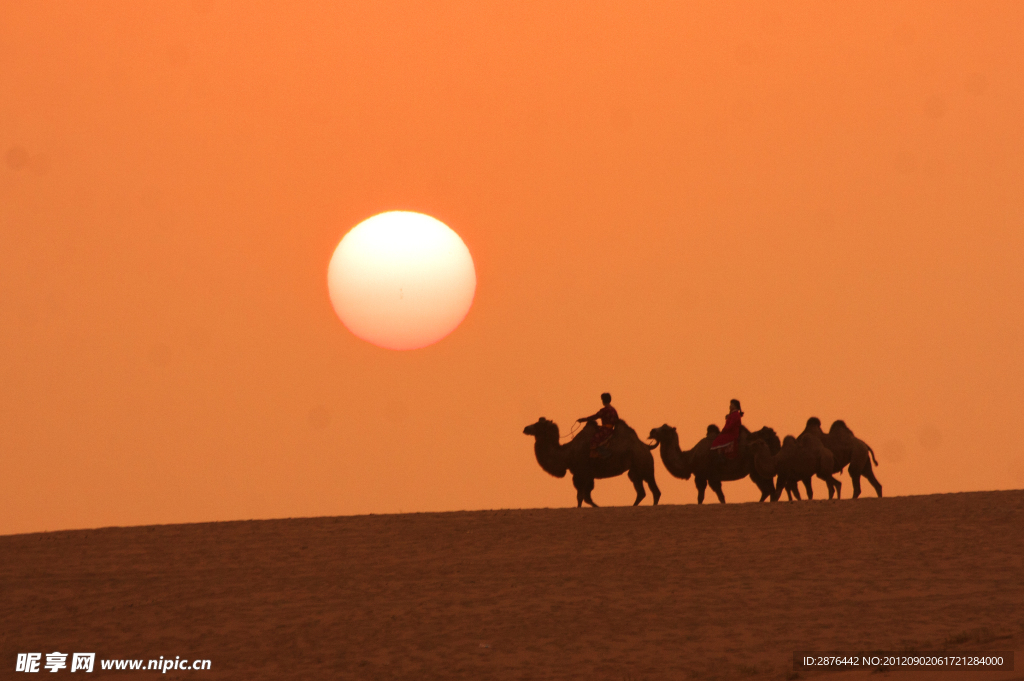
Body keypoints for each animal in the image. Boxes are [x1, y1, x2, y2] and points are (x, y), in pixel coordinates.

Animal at [524, 413, 659, 503]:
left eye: (538, 424)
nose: (526, 428)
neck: (567, 454)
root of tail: (646, 446)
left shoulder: (581, 473)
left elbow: (581, 497)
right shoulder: (587, 475)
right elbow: (586, 497)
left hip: (644, 465)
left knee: (654, 490)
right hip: (635, 470)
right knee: (641, 492)